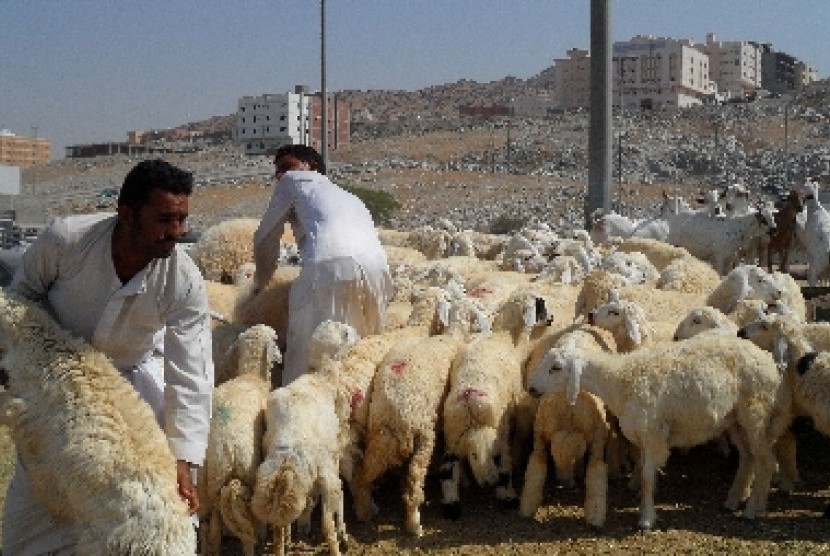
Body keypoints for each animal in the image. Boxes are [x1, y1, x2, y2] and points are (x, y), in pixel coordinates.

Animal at [200, 326, 284, 556]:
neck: (251, 374)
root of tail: (229, 448)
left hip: (214, 483)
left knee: (214, 526)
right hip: (250, 472)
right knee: (249, 529)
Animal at [528, 332, 792, 532]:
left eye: (556, 368)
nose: (531, 389)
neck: (620, 380)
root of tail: (769, 361)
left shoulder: (653, 433)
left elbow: (646, 476)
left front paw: (646, 520)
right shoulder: (644, 437)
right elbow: (647, 475)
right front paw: (646, 509)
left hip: (756, 411)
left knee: (766, 460)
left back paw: (753, 509)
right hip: (734, 418)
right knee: (748, 457)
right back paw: (733, 499)